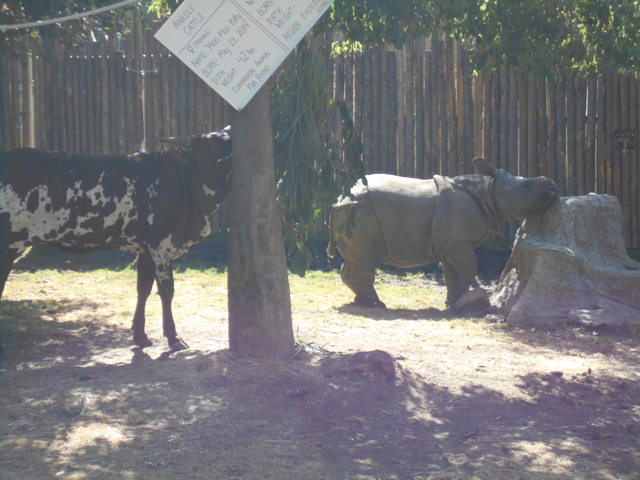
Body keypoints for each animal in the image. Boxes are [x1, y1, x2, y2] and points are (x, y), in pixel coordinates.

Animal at [0, 127, 232, 351]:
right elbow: (167, 290)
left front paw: (140, 335)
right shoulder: (160, 246)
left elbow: (143, 288)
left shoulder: (145, 250)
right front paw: (173, 337)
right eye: (210, 145)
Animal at [327, 157, 560, 308]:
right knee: (366, 260)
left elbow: (452, 273)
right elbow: (469, 268)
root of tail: (338, 200)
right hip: (360, 210)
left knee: (356, 260)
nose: (554, 188)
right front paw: (464, 303)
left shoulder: (451, 242)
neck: (488, 191)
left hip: (354, 210)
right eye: (526, 185)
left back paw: (363, 302)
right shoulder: (456, 241)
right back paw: (376, 304)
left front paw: (452, 301)